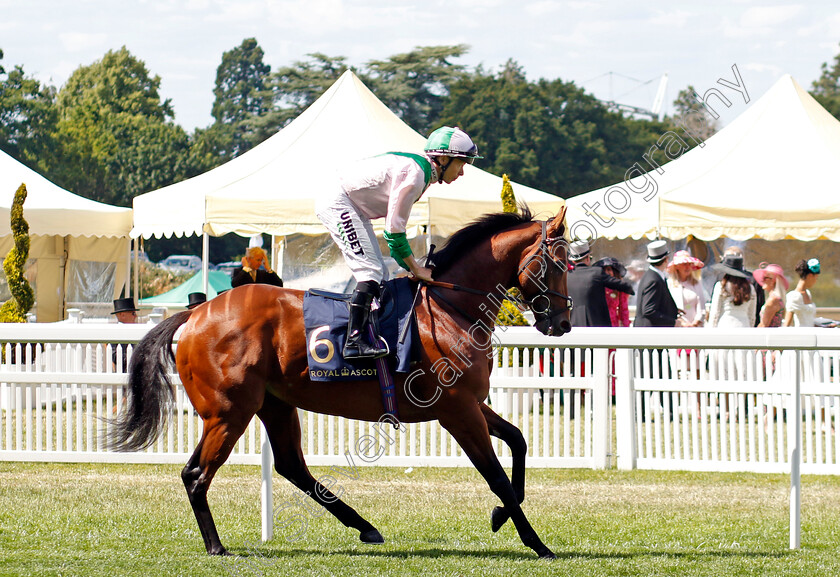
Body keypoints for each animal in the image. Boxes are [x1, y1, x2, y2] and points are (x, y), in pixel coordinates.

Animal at [110, 204, 572, 560]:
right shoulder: (457, 411)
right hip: (228, 412)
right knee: (196, 474)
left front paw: (500, 516)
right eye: (556, 263)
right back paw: (216, 546)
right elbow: (496, 475)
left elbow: (518, 441)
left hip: (274, 404)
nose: (563, 323)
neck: (450, 306)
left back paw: (364, 526)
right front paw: (537, 543)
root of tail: (195, 314)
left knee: (290, 464)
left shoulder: (472, 404)